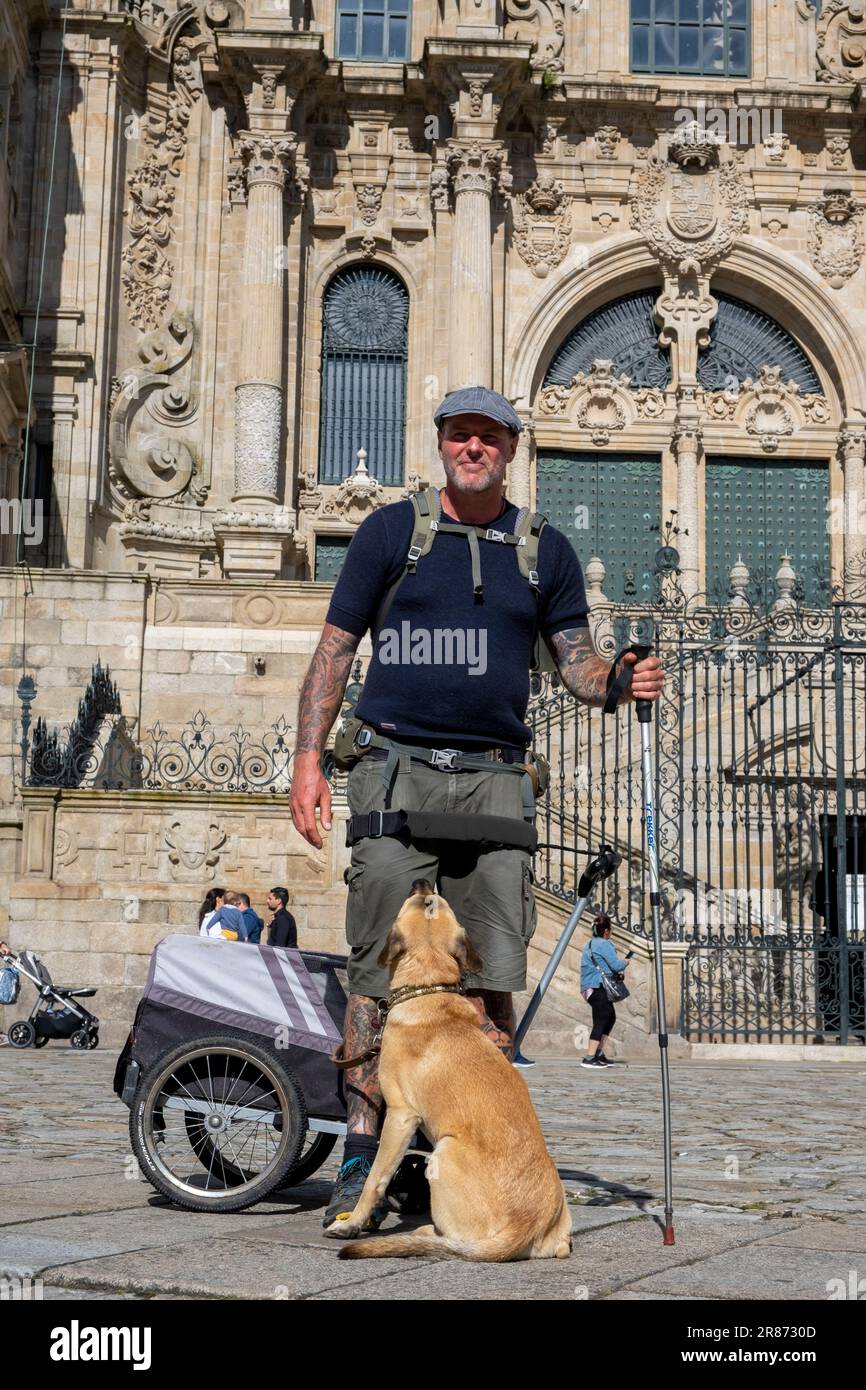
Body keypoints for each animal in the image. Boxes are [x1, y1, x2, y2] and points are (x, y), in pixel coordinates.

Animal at [328, 884, 572, 1267]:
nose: (424, 883)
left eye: (421, 902)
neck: (429, 988)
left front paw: (352, 1223)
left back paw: (424, 1232)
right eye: (434, 903)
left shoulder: (400, 1116)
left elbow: (376, 1179)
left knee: (456, 1237)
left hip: (442, 1152)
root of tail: (521, 1228)